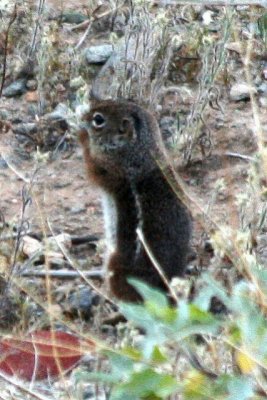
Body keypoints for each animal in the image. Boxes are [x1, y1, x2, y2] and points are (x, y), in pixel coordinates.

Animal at [78, 101, 192, 304]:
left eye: (98, 119)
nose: (82, 118)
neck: (140, 149)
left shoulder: (111, 171)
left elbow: (93, 168)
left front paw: (83, 137)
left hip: (116, 264)